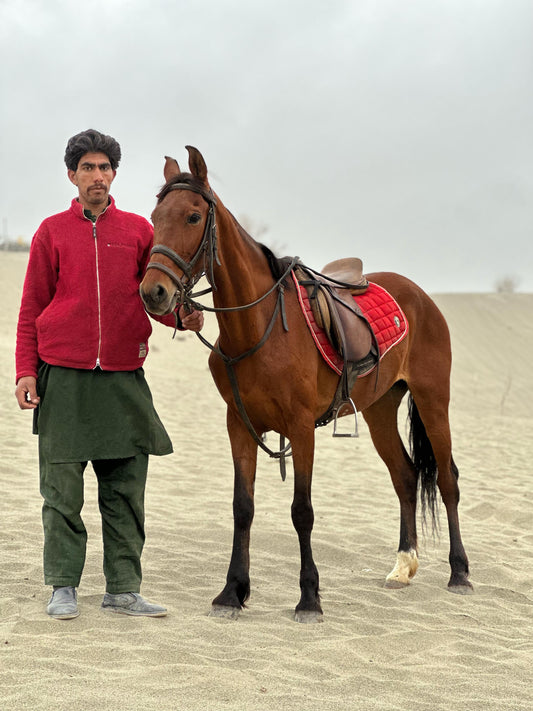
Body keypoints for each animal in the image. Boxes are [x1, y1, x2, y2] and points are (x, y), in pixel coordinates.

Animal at [139, 146, 472, 623]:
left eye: (192, 216)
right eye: (154, 216)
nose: (154, 292)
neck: (258, 327)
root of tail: (419, 295)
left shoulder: (300, 429)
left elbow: (302, 511)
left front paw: (309, 597)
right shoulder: (239, 426)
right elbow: (243, 508)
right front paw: (232, 592)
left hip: (433, 400)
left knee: (447, 479)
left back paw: (459, 572)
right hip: (379, 411)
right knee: (406, 477)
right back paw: (403, 566)